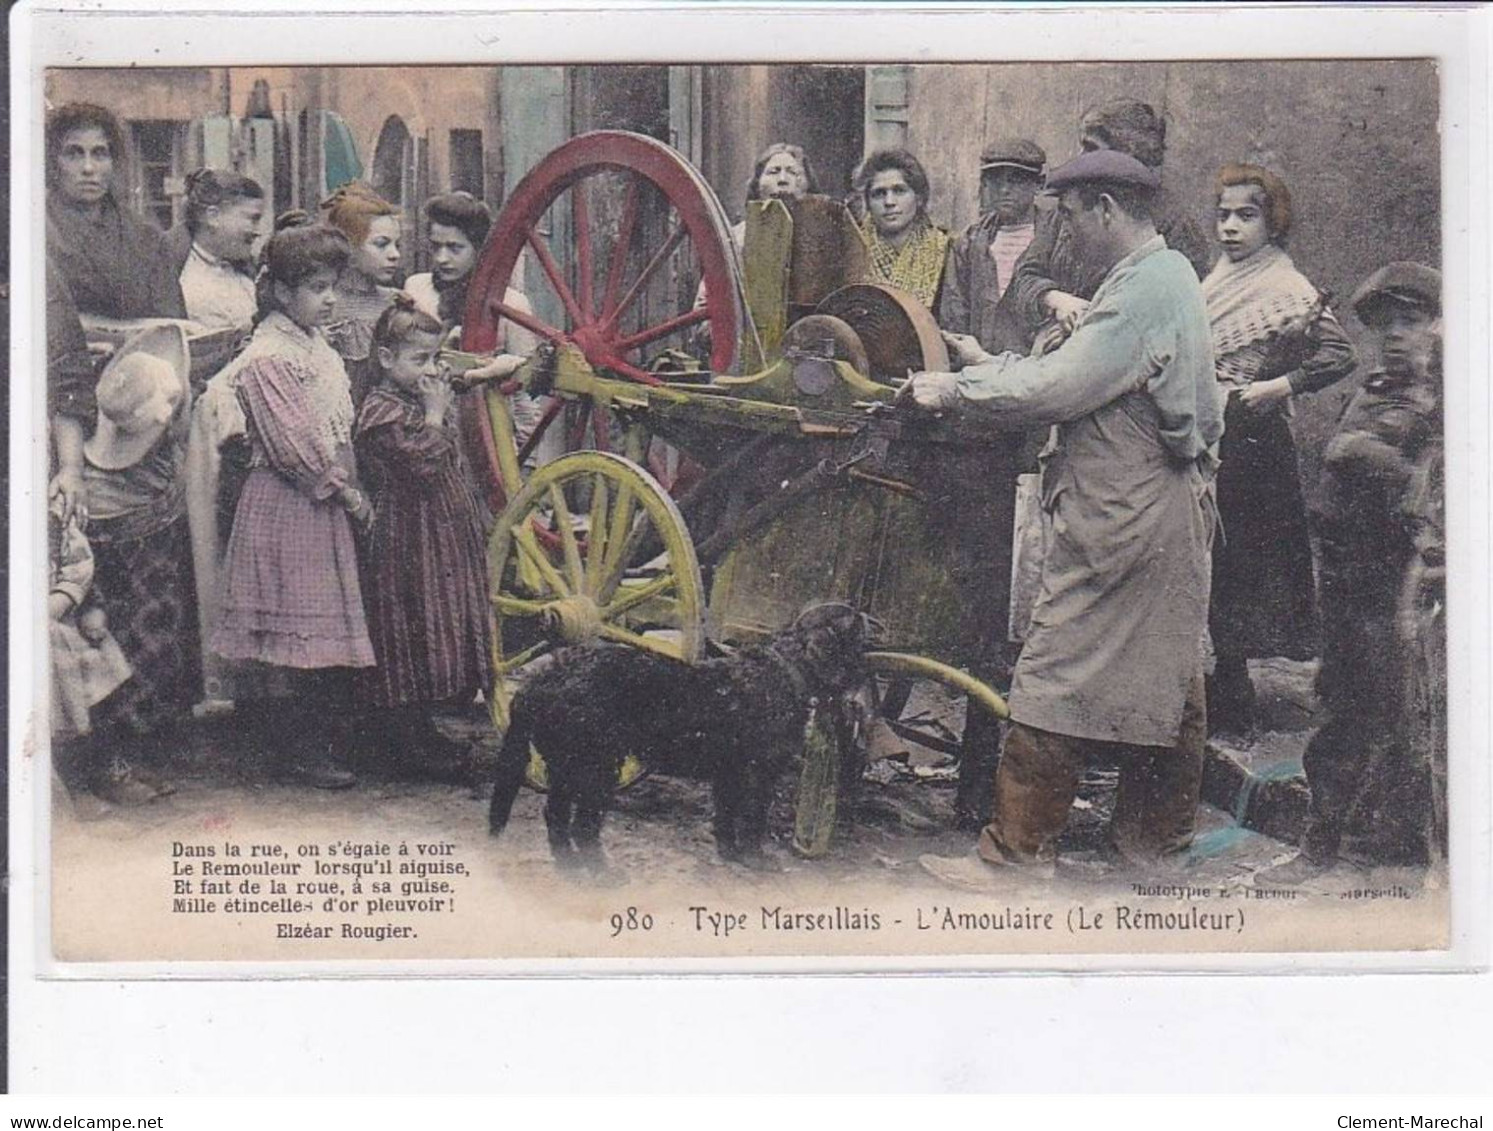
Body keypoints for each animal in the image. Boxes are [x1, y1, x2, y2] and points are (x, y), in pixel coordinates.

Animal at [486, 605, 871, 871]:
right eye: (855, 625)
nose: (874, 621)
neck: (786, 670)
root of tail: (542, 680)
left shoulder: (729, 774)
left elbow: (725, 817)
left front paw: (730, 854)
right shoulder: (758, 774)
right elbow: (752, 820)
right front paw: (755, 859)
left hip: (568, 767)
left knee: (556, 817)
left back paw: (571, 868)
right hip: (597, 770)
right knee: (583, 827)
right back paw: (601, 873)